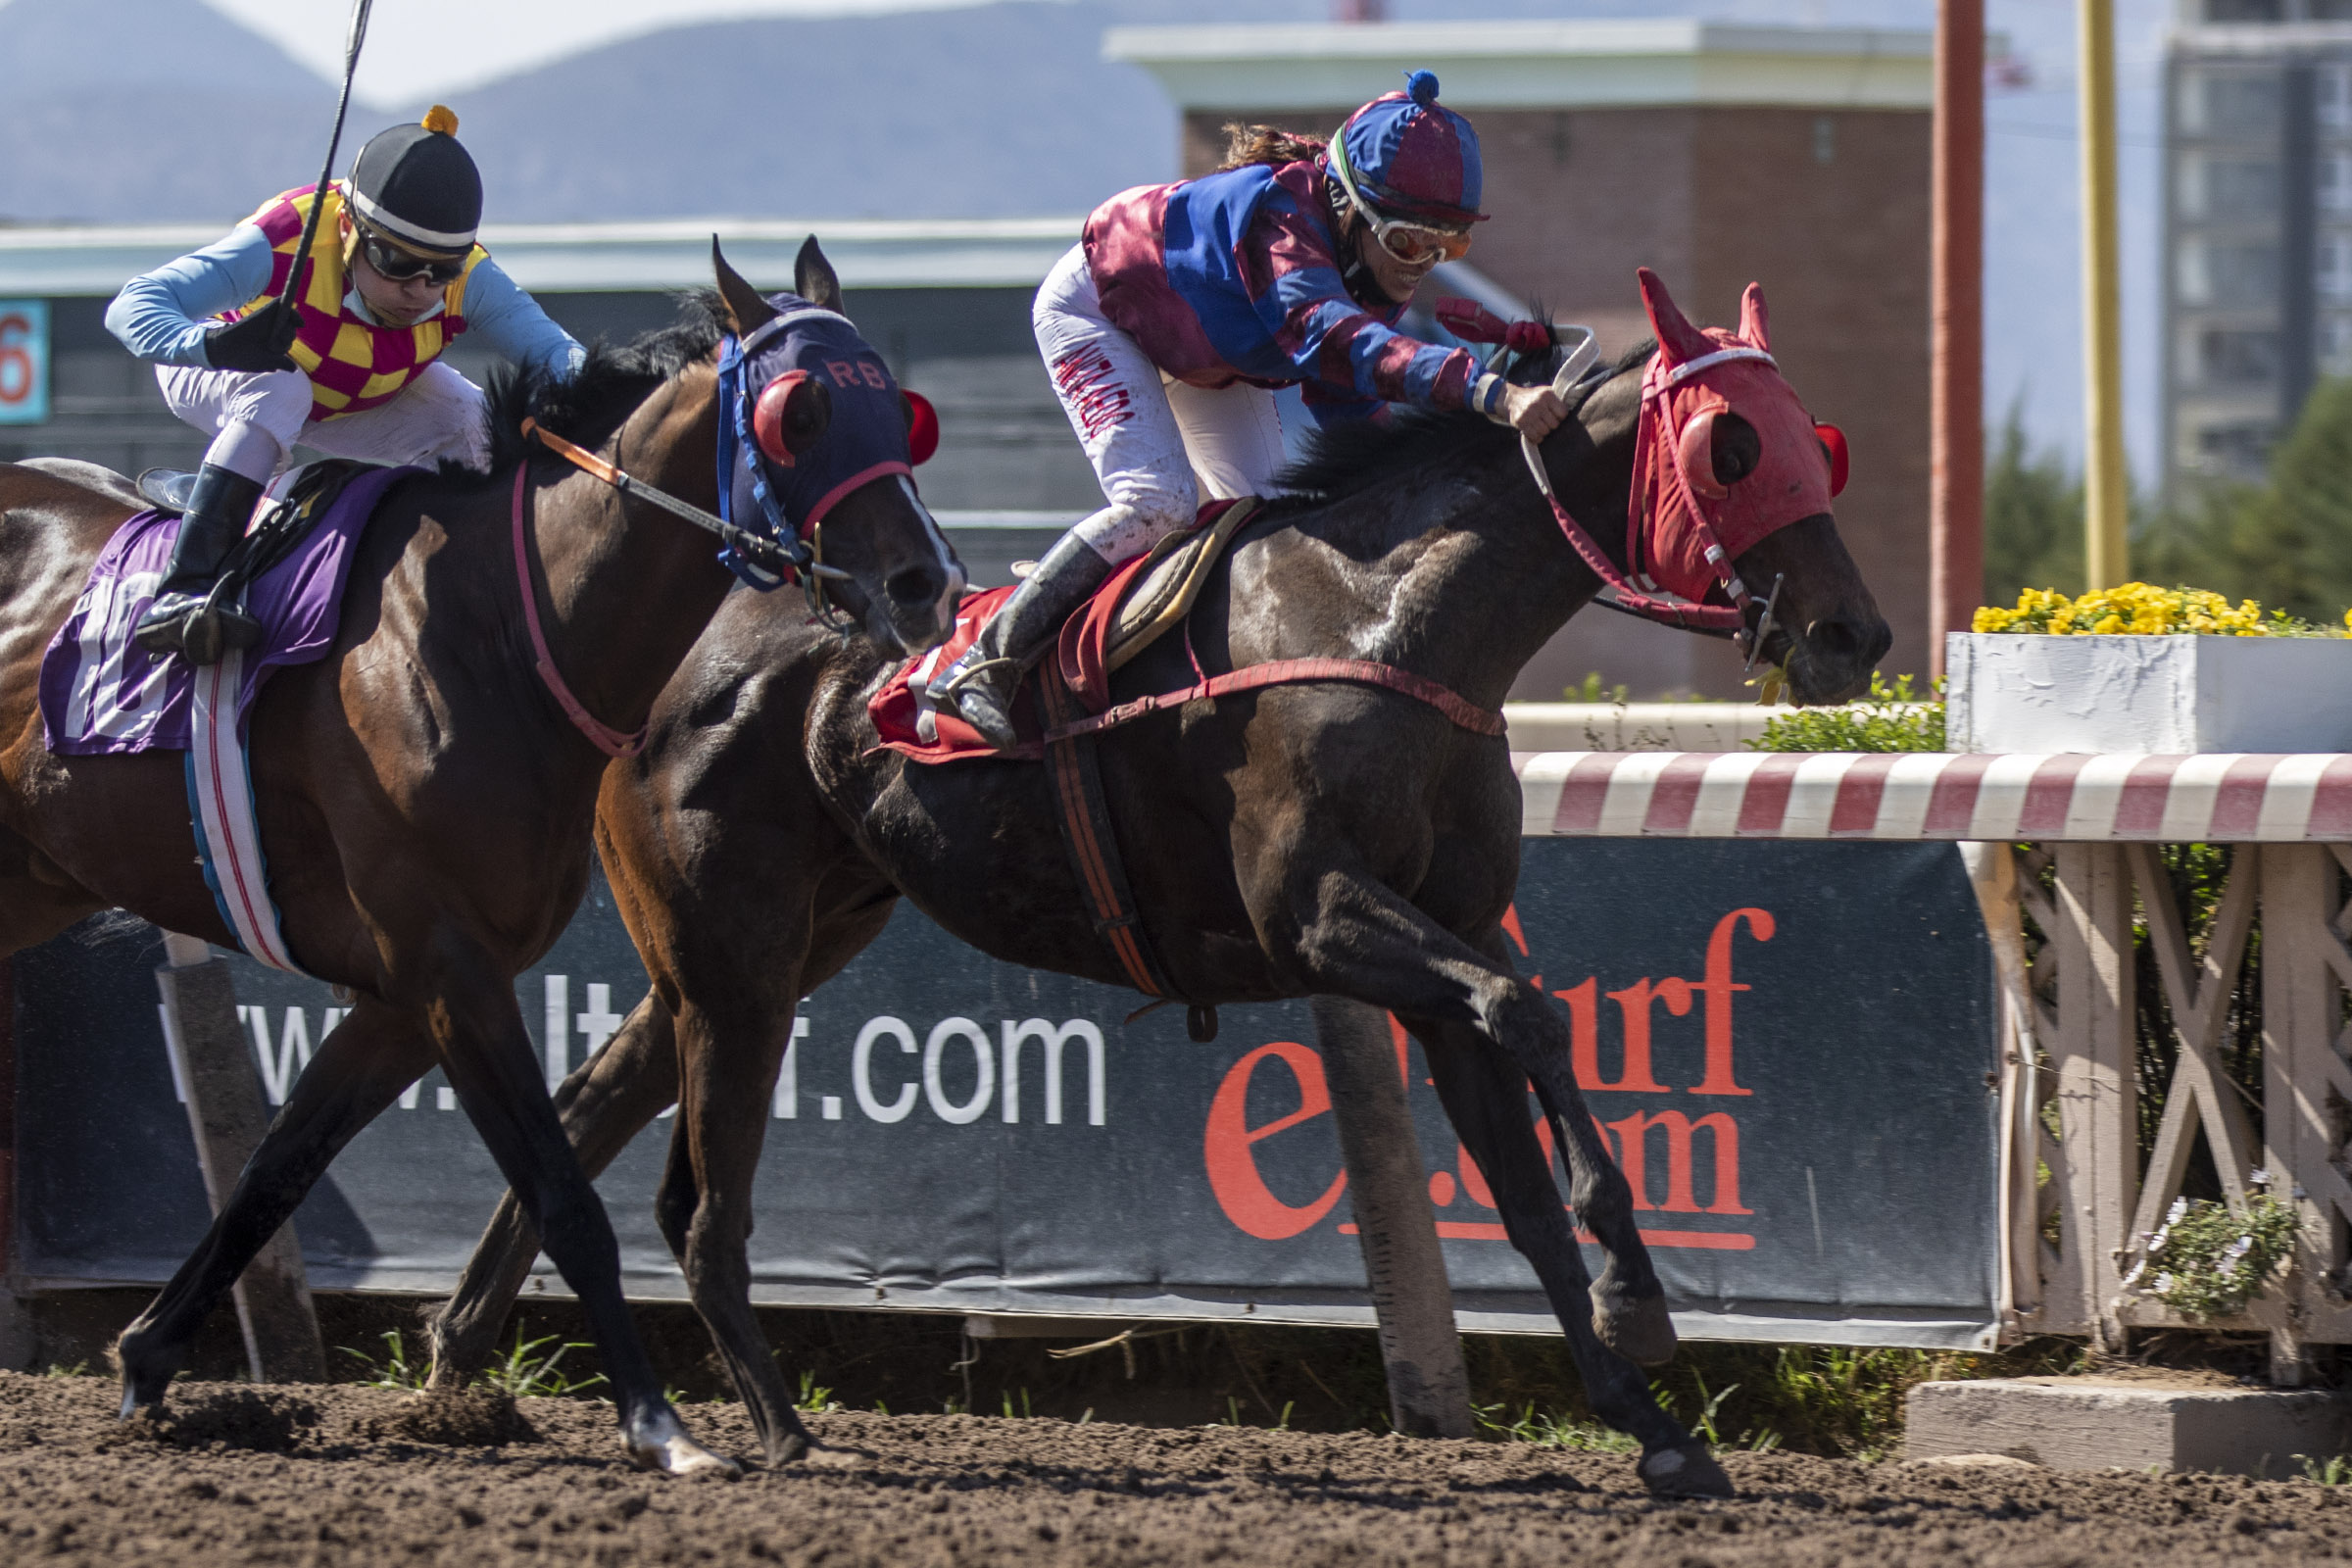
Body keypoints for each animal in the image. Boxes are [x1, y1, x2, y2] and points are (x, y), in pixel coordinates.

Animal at [0, 242, 964, 1474]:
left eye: (902, 409)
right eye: (803, 414)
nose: (922, 583)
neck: (499, 628)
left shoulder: (402, 992)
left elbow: (275, 1170)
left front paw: (148, 1361)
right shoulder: (453, 966)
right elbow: (563, 1197)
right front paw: (661, 1426)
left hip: (31, 881)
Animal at [426, 270, 1890, 1495]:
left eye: (1815, 435)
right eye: (1729, 446)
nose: (1853, 633)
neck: (1389, 627)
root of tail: (659, 654)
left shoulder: (1449, 934)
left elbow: (1522, 1160)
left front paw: (1651, 1422)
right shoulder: (1319, 919)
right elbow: (1528, 1016)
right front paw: (1640, 1306)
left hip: (780, 939)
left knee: (589, 1100)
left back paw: (465, 1364)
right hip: (735, 954)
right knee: (691, 1188)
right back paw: (764, 1422)